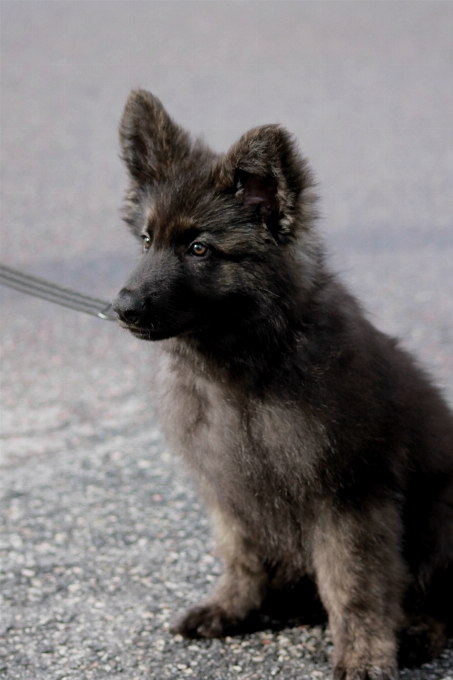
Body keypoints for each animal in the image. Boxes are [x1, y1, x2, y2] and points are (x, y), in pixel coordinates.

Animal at [112, 90, 452, 680]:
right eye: (147, 240)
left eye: (199, 249)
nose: (122, 308)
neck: (246, 369)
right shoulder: (228, 489)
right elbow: (242, 556)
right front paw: (232, 607)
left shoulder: (347, 499)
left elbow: (355, 587)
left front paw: (364, 655)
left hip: (440, 517)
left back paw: (414, 633)